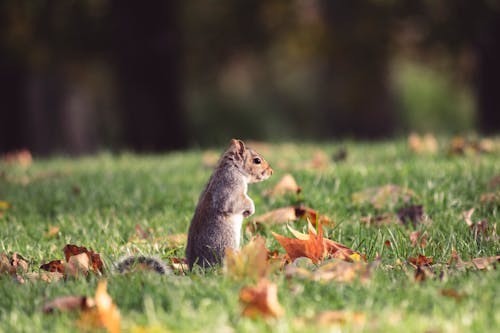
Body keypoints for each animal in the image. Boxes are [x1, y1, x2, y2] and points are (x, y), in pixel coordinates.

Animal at [114, 137, 274, 272]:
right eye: (257, 161)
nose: (271, 172)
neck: (234, 168)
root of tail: (196, 268)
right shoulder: (230, 188)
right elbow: (236, 203)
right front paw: (250, 208)